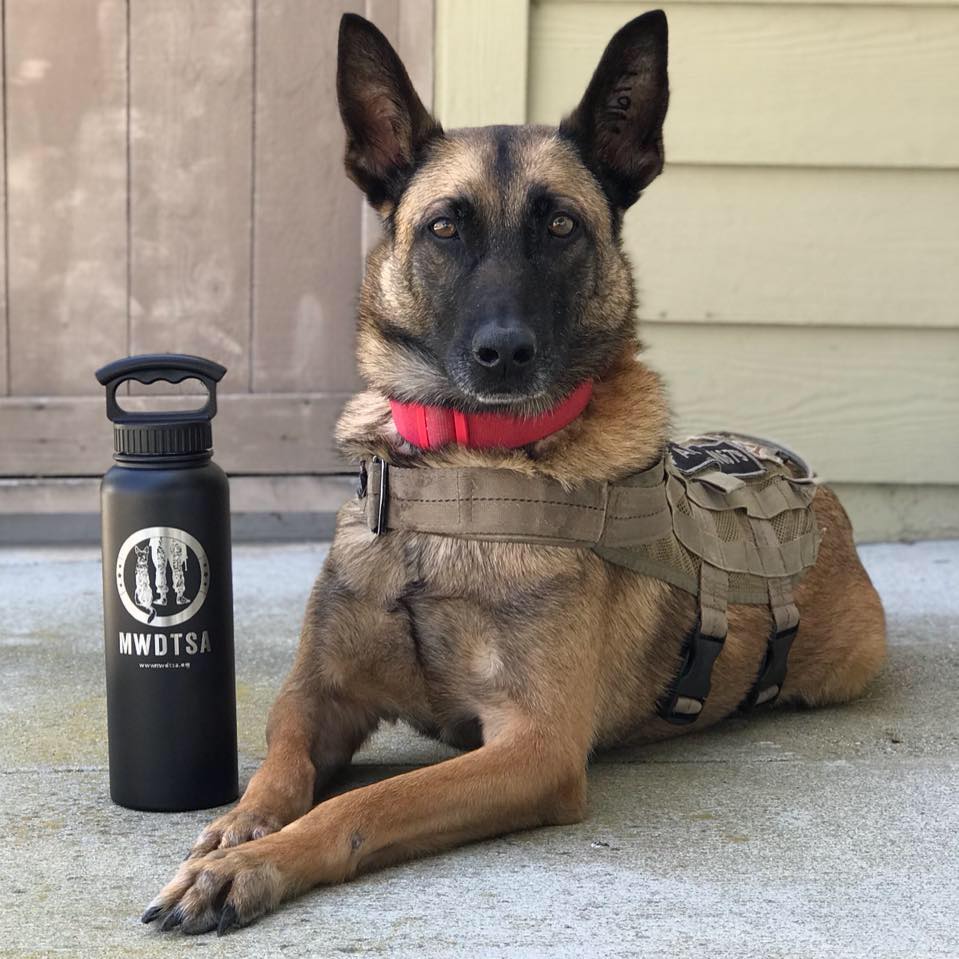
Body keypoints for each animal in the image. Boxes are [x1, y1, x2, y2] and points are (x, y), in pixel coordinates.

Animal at [146, 9, 888, 936]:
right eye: (445, 228)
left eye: (561, 226)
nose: (503, 354)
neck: (464, 466)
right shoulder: (319, 693)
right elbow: (279, 761)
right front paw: (240, 826)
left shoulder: (533, 747)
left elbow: (365, 803)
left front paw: (255, 864)